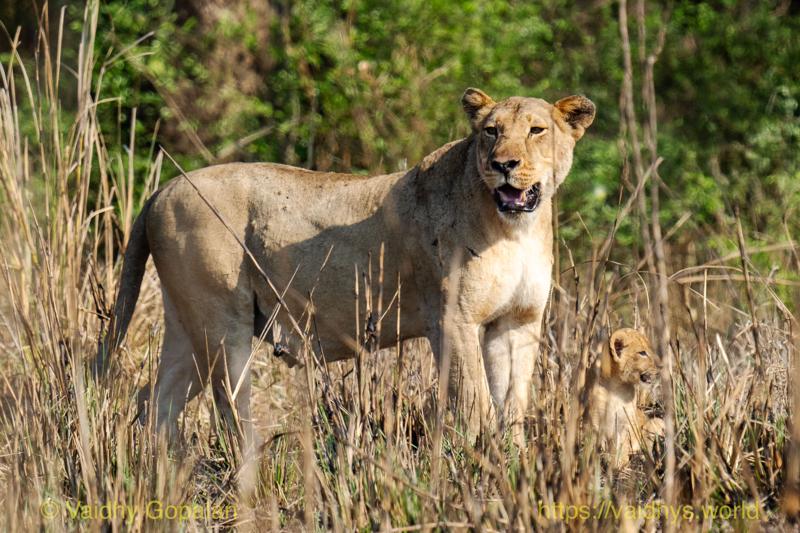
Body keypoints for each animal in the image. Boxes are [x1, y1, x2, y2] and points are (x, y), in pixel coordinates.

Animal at [93, 88, 595, 446]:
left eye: (536, 130)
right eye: (491, 132)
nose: (503, 164)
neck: (514, 228)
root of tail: (164, 189)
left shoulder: (517, 322)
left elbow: (513, 402)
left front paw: (513, 461)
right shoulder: (454, 318)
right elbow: (475, 404)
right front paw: (479, 467)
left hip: (187, 326)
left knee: (155, 402)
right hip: (221, 323)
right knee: (230, 406)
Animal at [587, 328, 664, 469]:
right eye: (642, 353)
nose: (661, 366)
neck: (617, 387)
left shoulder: (624, 421)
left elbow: (620, 445)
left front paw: (618, 463)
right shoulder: (593, 421)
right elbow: (592, 446)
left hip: (656, 422)